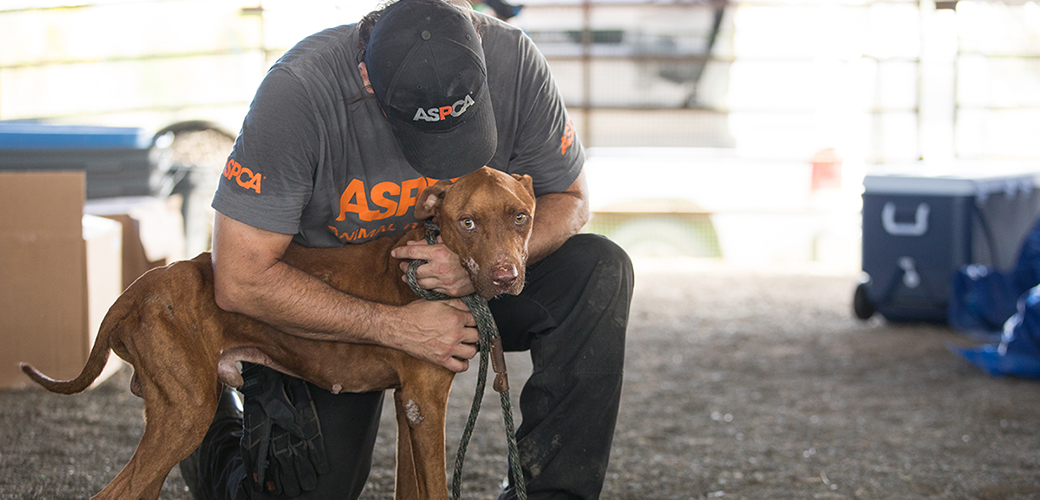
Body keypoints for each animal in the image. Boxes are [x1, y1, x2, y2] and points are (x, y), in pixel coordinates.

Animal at [18, 165, 536, 496]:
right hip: (186, 413)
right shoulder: (426, 404)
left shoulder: (408, 404)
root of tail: (142, 285)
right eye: (467, 222)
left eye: (521, 217)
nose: (506, 277)